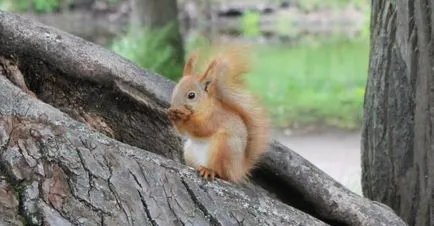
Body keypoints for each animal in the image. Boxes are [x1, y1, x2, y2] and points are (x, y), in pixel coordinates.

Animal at [168, 44, 270, 184]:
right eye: (175, 89)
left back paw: (209, 170)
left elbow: (202, 128)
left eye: (191, 95)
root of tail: (238, 170)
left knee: (222, 173)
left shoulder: (215, 118)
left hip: (224, 147)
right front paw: (171, 115)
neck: (204, 107)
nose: (174, 107)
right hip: (189, 151)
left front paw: (181, 117)